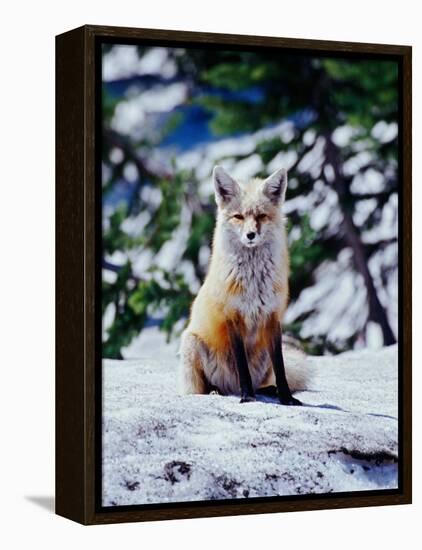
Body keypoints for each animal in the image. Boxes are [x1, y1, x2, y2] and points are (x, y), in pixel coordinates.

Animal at [179, 165, 306, 406]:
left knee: (263, 381)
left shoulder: (272, 317)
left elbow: (281, 368)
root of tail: (230, 388)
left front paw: (286, 398)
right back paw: (218, 391)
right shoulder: (232, 316)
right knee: (204, 388)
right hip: (191, 343)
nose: (250, 235)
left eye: (261, 216)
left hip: (263, 355)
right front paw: (247, 397)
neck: (254, 282)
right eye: (238, 216)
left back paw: (268, 390)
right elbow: (242, 366)